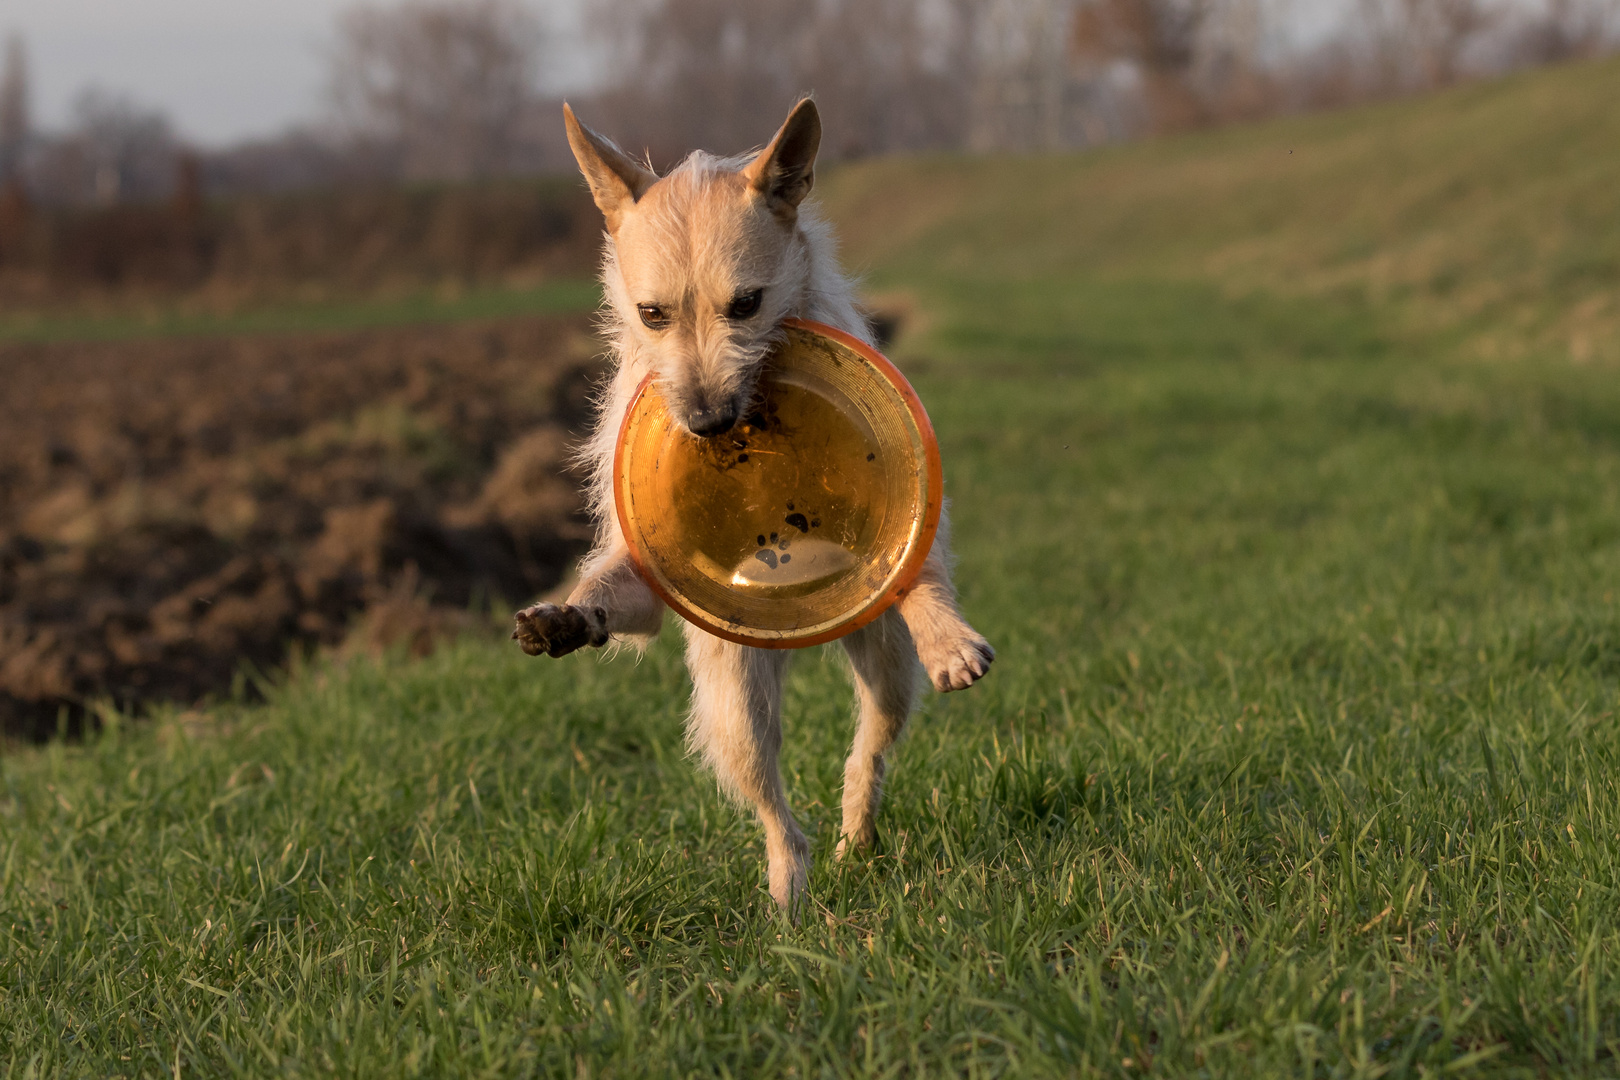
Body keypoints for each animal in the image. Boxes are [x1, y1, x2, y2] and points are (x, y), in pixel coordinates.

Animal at [511, 99, 991, 913]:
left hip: (883, 666)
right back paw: (788, 891)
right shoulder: (647, 569)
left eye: (746, 305)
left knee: (870, 747)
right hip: (736, 702)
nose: (705, 422)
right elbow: (613, 588)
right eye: (652, 313)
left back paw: (855, 834)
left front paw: (947, 635)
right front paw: (568, 614)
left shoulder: (906, 510)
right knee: (772, 805)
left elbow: (917, 567)